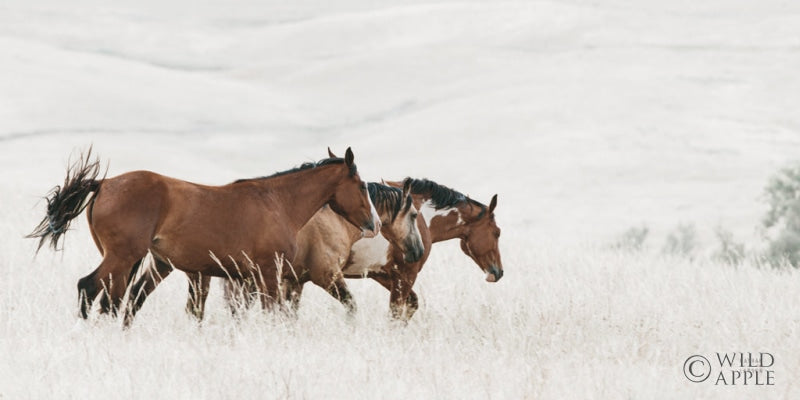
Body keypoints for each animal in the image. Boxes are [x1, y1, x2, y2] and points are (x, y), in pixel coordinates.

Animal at [28, 147, 381, 326]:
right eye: (362, 185)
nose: (374, 223)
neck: (277, 202)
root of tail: (103, 183)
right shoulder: (268, 271)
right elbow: (273, 312)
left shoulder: (245, 276)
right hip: (123, 257)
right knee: (89, 288)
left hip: (134, 261)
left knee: (113, 301)